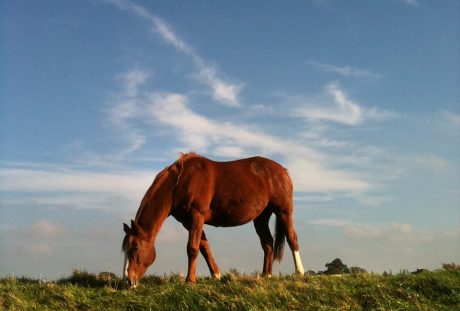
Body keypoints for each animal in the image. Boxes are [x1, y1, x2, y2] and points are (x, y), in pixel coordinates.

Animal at [121, 152, 306, 288]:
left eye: (135, 247)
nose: (127, 281)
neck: (182, 182)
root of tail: (283, 170)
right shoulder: (189, 222)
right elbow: (204, 247)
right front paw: (216, 275)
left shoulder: (197, 216)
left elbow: (192, 248)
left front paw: (189, 281)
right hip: (260, 217)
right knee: (267, 243)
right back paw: (266, 275)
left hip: (283, 212)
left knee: (292, 239)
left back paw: (300, 272)